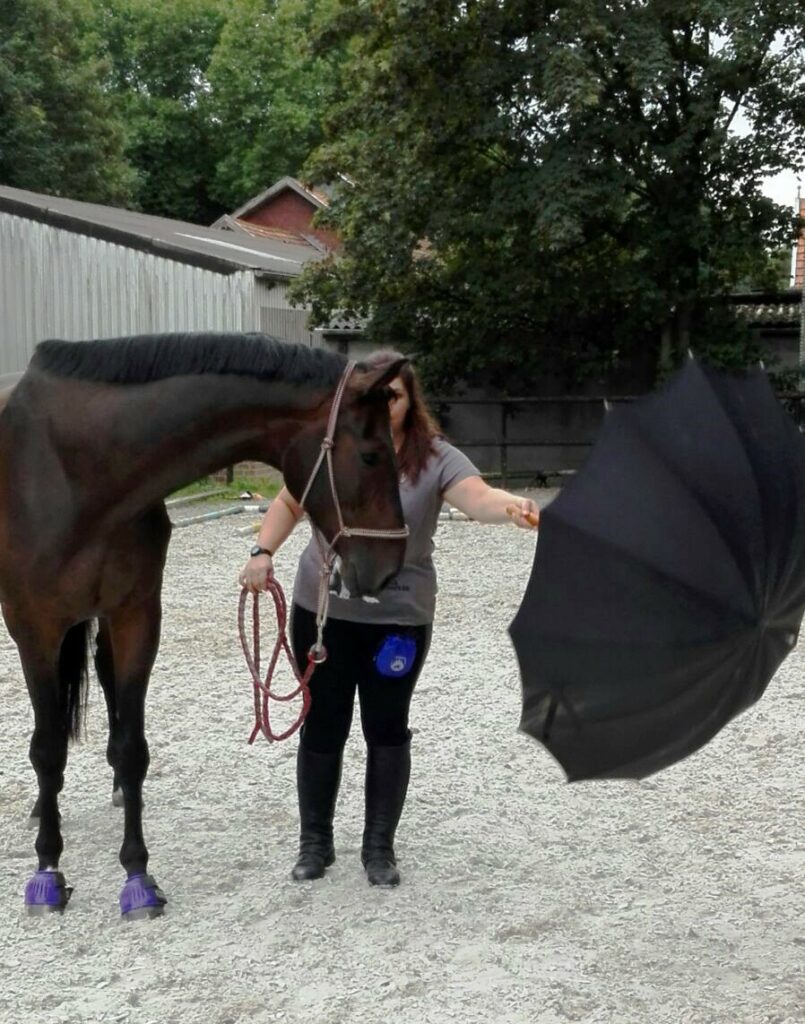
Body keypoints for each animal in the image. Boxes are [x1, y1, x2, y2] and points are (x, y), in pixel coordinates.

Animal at [0, 335, 405, 921]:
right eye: (372, 454)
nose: (390, 568)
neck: (74, 469)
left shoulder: (137, 617)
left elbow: (131, 748)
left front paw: (138, 878)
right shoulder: (34, 628)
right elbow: (47, 748)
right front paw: (48, 873)